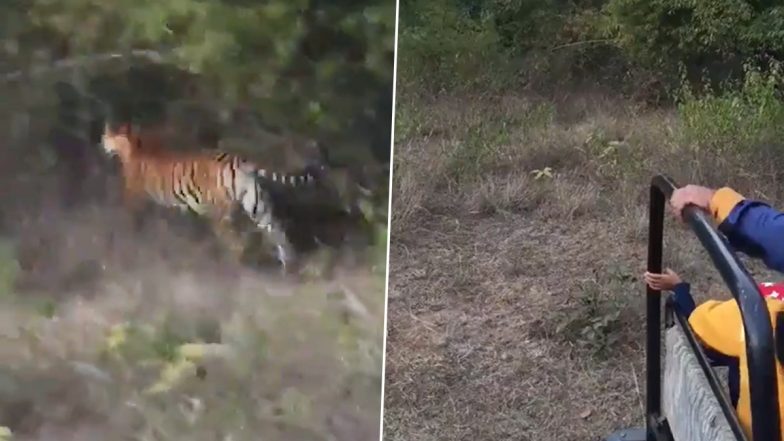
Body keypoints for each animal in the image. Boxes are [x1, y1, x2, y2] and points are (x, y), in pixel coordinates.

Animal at [100, 121, 325, 271]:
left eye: (107, 136)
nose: (102, 144)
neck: (133, 146)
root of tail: (240, 161)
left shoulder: (133, 197)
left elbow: (131, 222)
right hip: (257, 207)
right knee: (279, 234)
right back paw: (290, 269)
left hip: (220, 214)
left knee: (238, 245)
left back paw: (233, 271)